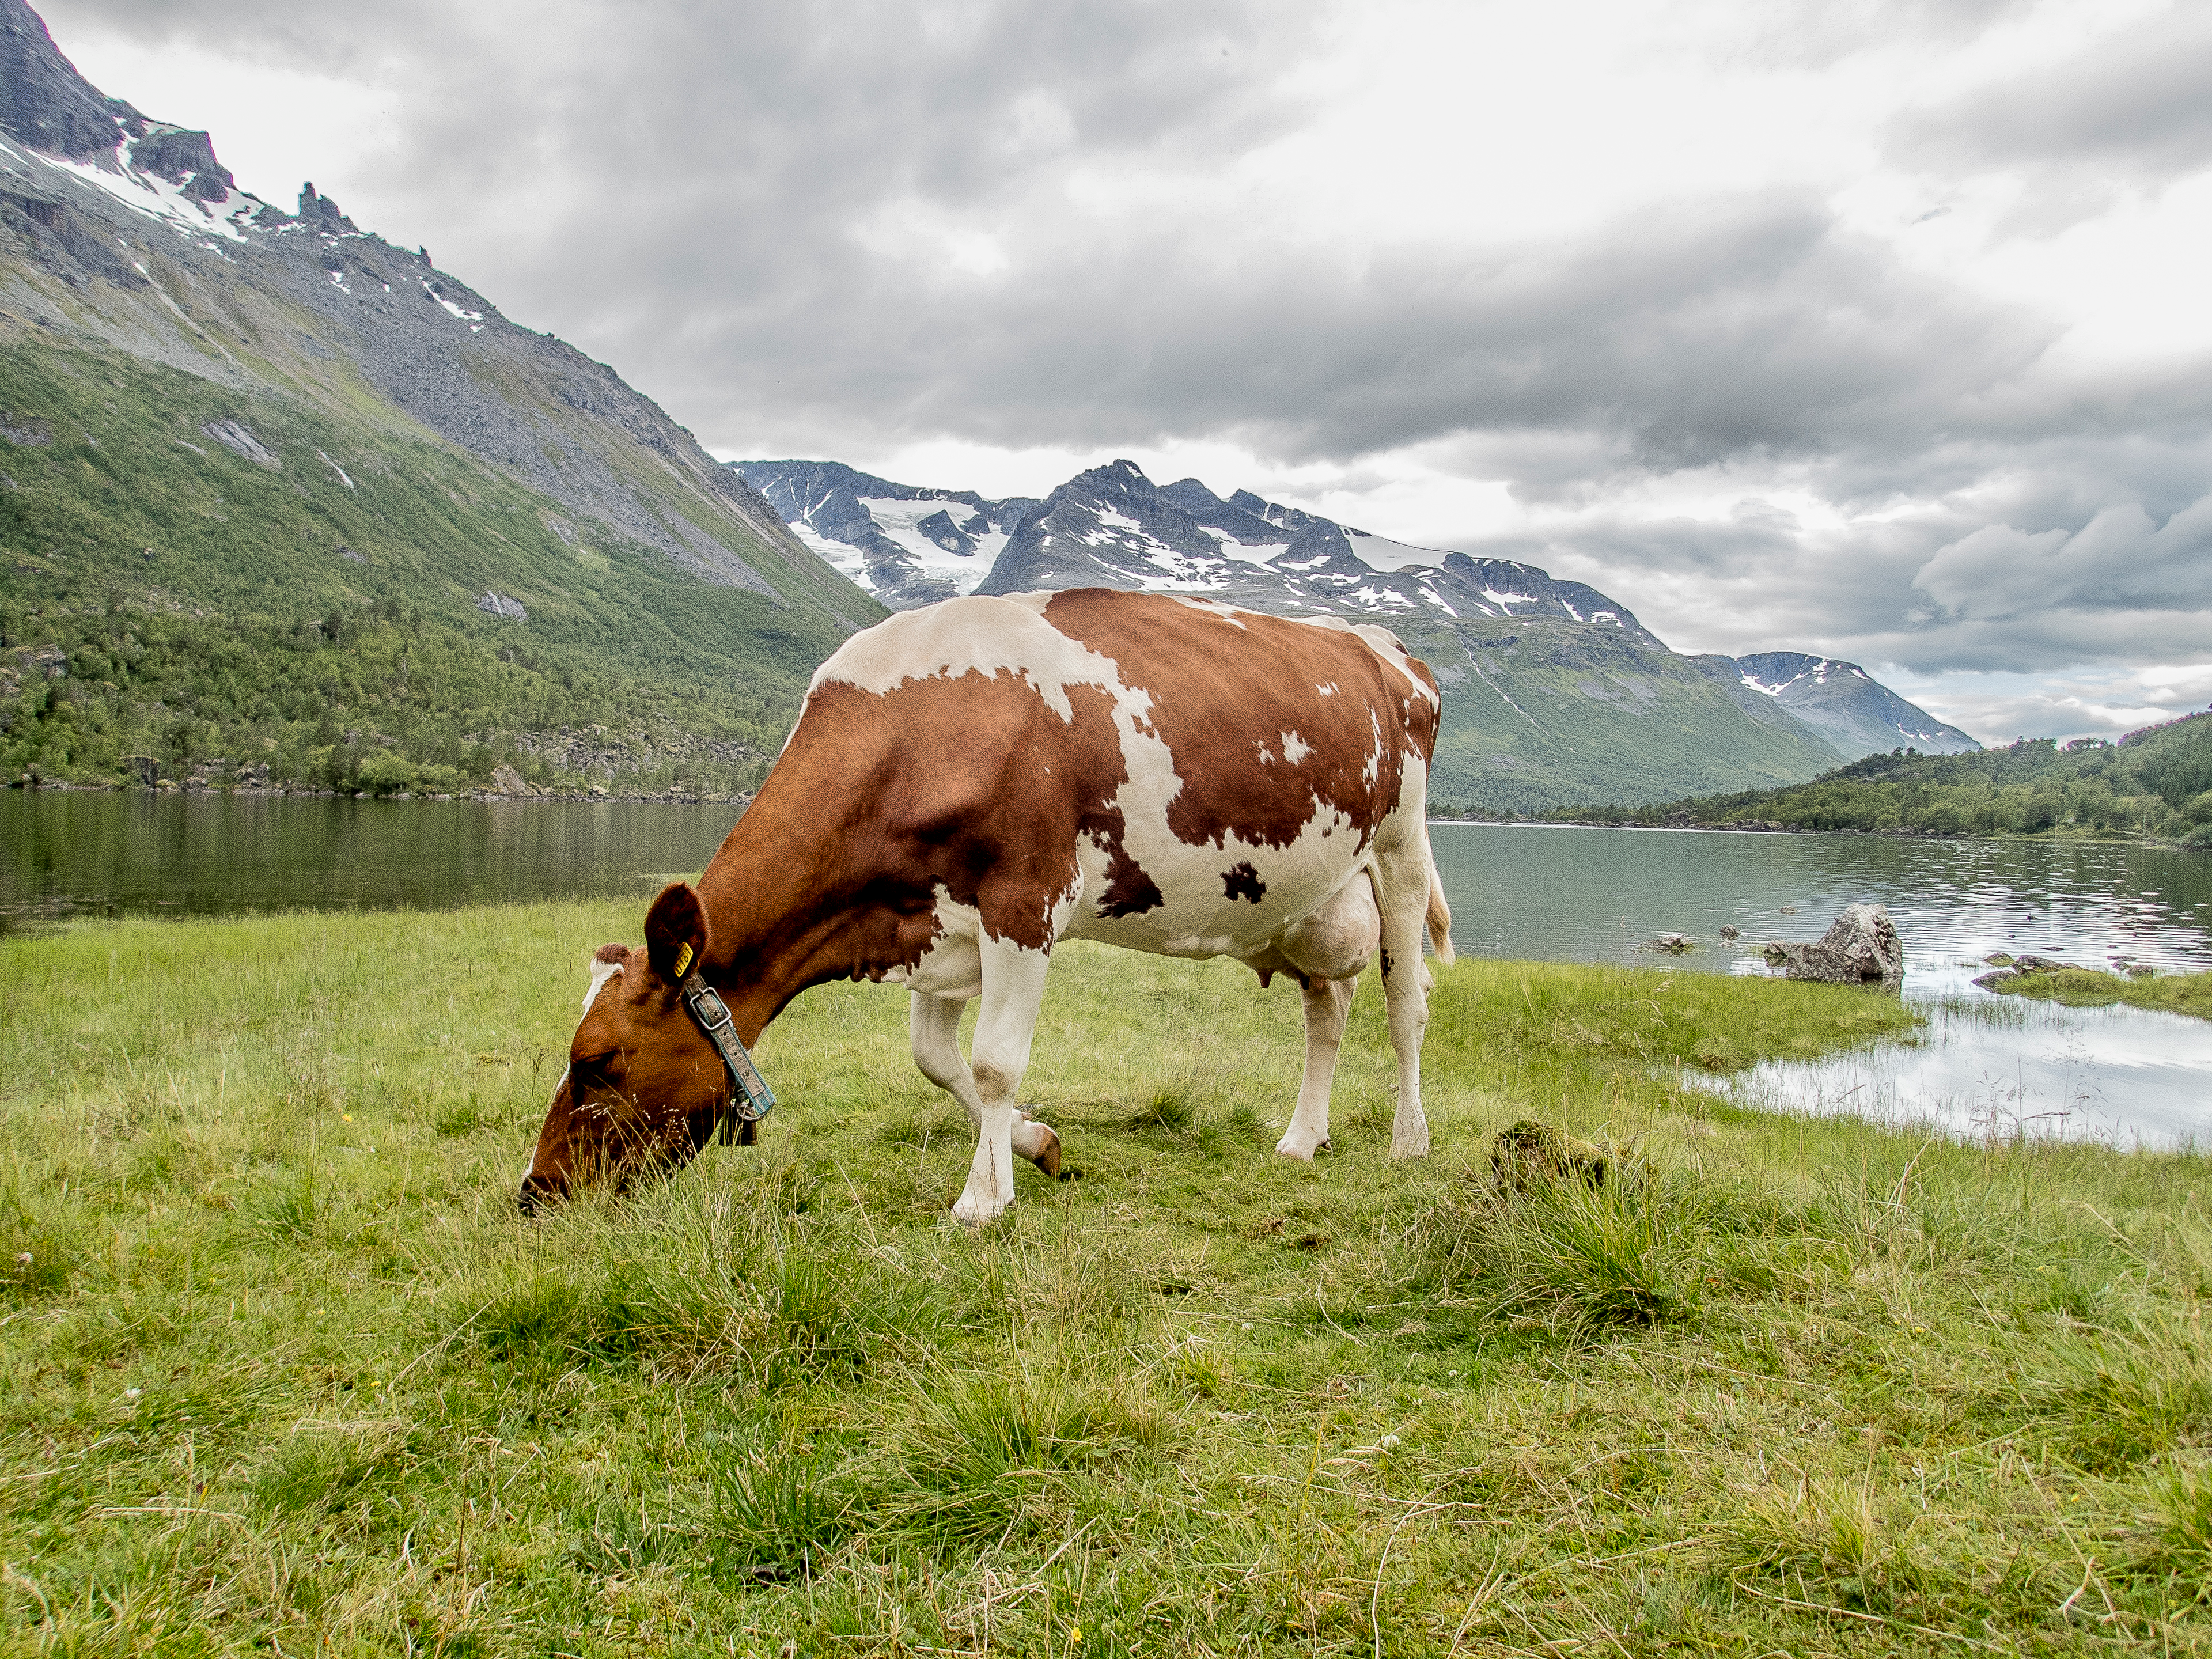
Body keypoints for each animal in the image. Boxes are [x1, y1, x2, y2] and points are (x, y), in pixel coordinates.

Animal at [520, 586, 1455, 1225]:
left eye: (597, 1060)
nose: (534, 1192)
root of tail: (1384, 646)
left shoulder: (1024, 901)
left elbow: (996, 1061)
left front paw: (980, 1199)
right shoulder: (933, 923)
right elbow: (940, 1061)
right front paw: (1030, 1149)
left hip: (1401, 847)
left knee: (1405, 1003)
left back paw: (1410, 1141)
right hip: (1310, 898)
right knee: (1328, 1006)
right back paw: (1302, 1138)